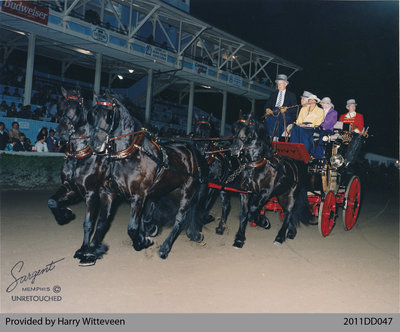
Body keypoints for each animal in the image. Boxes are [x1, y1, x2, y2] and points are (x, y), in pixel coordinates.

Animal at [90, 92, 209, 258]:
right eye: (93, 113)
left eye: (109, 115)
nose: (95, 144)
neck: (130, 155)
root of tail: (192, 151)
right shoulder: (108, 193)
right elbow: (102, 223)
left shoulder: (138, 196)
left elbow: (132, 228)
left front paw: (142, 242)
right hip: (171, 190)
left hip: (188, 190)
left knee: (180, 217)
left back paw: (165, 248)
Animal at [230, 111, 310, 246]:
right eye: (234, 128)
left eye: (248, 130)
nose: (233, 149)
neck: (256, 166)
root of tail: (295, 165)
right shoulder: (246, 193)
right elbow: (245, 213)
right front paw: (239, 238)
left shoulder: (266, 192)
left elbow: (253, 209)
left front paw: (264, 222)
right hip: (281, 196)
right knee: (288, 213)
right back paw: (291, 232)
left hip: (290, 195)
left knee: (288, 213)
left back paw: (280, 237)